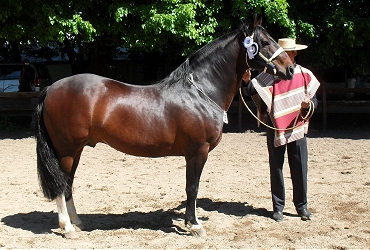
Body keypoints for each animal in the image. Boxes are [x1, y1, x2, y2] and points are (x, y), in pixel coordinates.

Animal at [34, 17, 294, 238]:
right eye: (264, 42)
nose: (290, 69)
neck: (200, 92)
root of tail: (51, 88)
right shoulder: (197, 152)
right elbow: (192, 188)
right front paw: (194, 225)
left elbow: (191, 188)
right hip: (66, 150)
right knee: (61, 184)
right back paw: (67, 227)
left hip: (75, 150)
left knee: (68, 183)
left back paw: (76, 221)